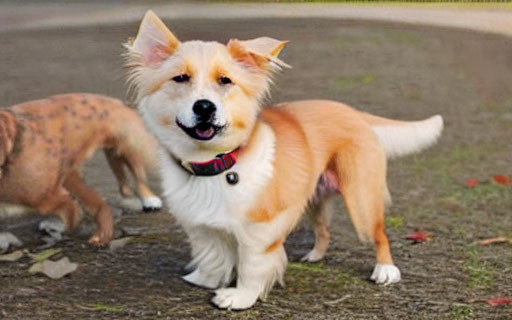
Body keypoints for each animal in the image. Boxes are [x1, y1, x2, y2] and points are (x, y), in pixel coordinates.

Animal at [0, 93, 161, 245]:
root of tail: (114, 101)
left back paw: (150, 199)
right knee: (121, 181)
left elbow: (72, 211)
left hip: (127, 146)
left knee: (138, 176)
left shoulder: (48, 196)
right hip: (109, 155)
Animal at [126, 11, 442, 310]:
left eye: (225, 80)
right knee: (323, 230)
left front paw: (240, 297)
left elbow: (251, 267)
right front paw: (206, 279)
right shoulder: (202, 226)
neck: (216, 164)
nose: (204, 107)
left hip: (361, 200)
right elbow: (213, 255)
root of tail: (353, 112)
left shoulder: (259, 230)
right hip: (313, 198)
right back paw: (314, 256)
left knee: (379, 233)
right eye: (180, 78)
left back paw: (386, 270)